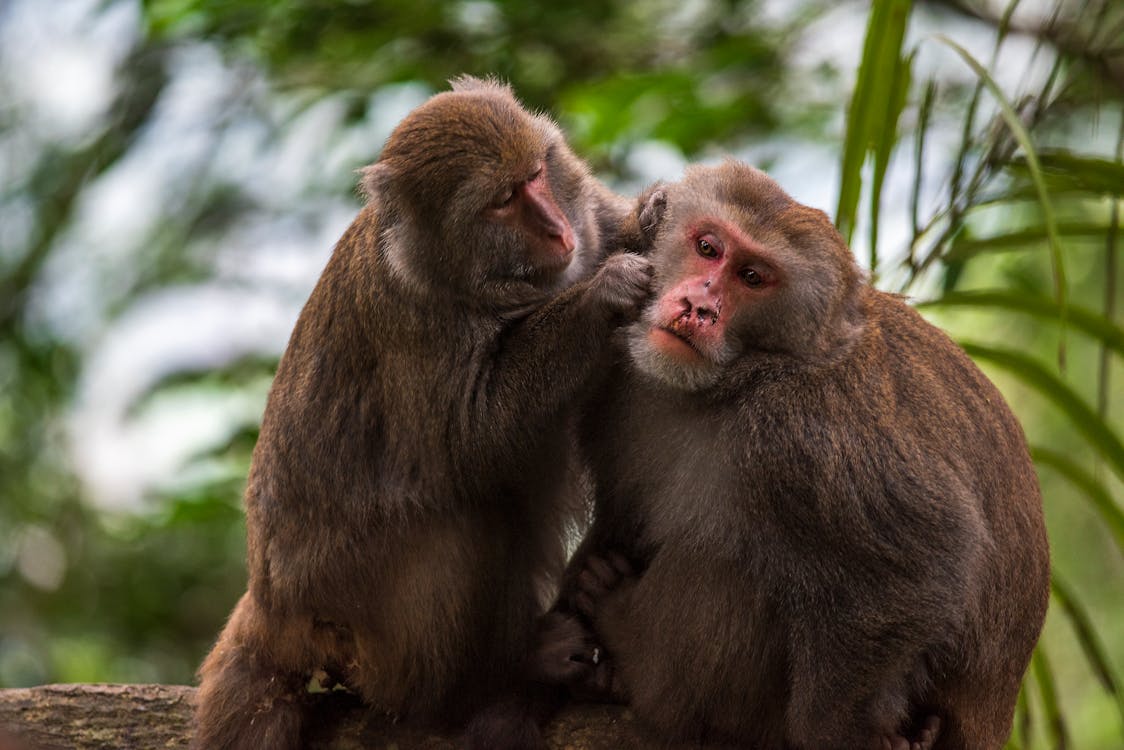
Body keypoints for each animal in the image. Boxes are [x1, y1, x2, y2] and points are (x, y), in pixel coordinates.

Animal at [192, 76, 651, 750]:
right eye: (503, 201)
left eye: (537, 175)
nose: (555, 229)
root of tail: (270, 603)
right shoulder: (412, 315)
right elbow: (474, 439)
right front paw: (602, 295)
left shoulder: (589, 210)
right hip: (362, 627)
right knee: (468, 513)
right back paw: (487, 683)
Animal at [548, 163, 1047, 750]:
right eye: (708, 247)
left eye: (753, 278)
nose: (700, 308)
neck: (725, 383)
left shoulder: (802, 431)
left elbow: (923, 563)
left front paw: (837, 731)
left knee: (729, 563)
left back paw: (623, 633)